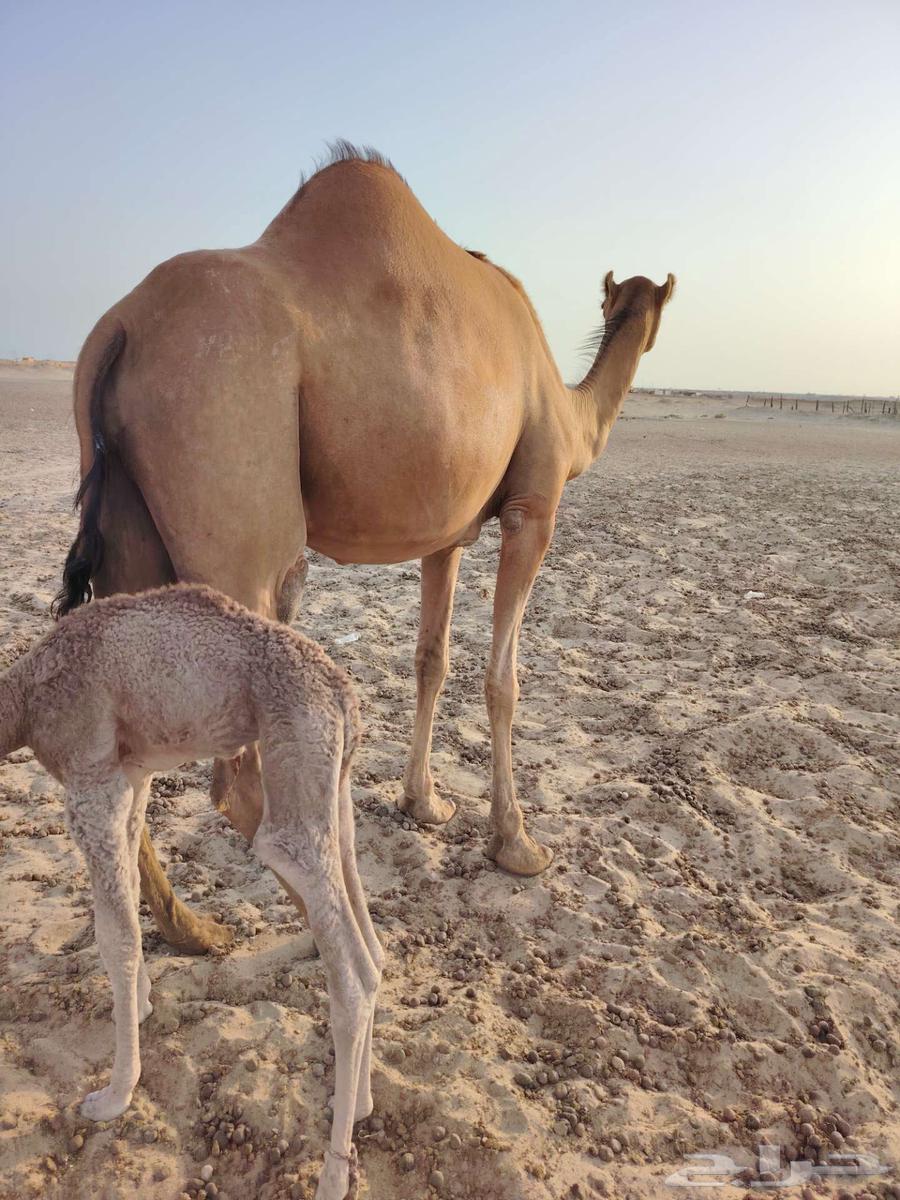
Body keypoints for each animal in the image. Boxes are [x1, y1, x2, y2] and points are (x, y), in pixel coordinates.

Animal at [0, 585, 379, 1200]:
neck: (24, 696)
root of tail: (343, 694)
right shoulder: (132, 777)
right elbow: (129, 896)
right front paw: (143, 1003)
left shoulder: (90, 782)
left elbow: (116, 936)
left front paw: (114, 1094)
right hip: (333, 788)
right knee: (372, 946)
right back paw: (363, 1104)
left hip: (294, 777)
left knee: (349, 976)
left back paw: (331, 1174)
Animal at [55, 142, 676, 955]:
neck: (572, 415)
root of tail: (118, 325)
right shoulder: (532, 509)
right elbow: (503, 679)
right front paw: (517, 845)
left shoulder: (447, 532)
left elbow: (431, 660)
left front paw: (427, 804)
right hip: (228, 462)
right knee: (242, 771)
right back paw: (345, 938)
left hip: (129, 524)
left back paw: (192, 928)